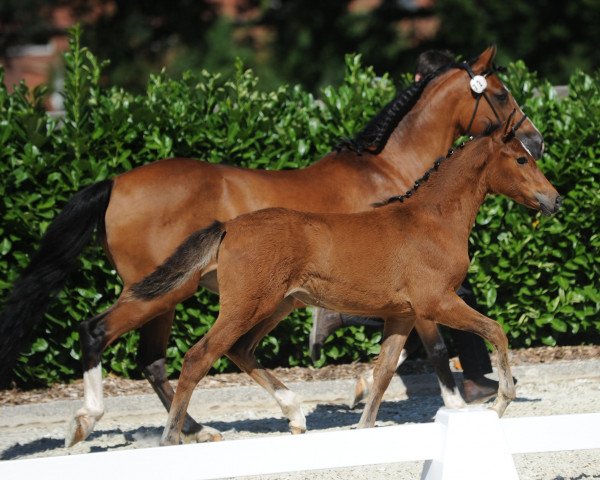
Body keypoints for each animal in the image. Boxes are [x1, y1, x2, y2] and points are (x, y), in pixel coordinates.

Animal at [120, 114, 556, 444]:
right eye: (521, 159)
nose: (555, 199)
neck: (432, 220)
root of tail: (228, 227)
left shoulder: (402, 315)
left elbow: (383, 373)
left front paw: (362, 427)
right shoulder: (438, 302)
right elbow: (495, 330)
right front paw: (501, 401)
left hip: (278, 305)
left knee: (240, 349)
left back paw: (294, 415)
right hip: (247, 305)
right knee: (198, 357)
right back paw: (174, 437)